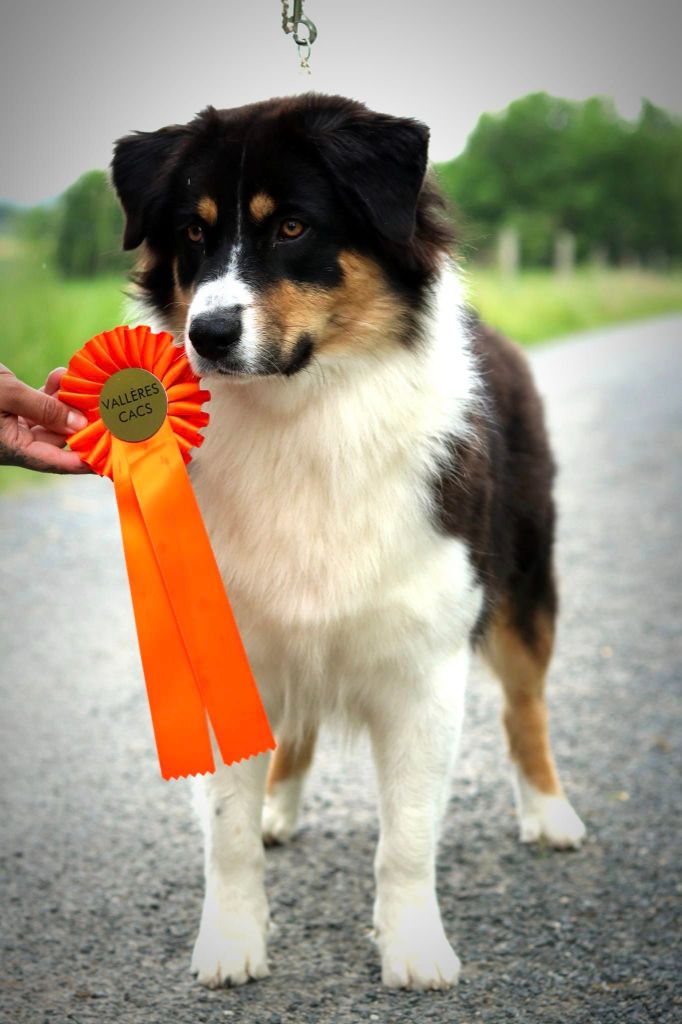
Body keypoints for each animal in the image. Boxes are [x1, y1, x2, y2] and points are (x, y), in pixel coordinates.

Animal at [111, 94, 585, 991]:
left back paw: (551, 811)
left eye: (293, 227)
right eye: (193, 233)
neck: (302, 412)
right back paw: (279, 805)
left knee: (527, 705)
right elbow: (225, 829)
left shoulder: (424, 664)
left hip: (523, 584)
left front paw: (415, 947)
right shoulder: (228, 643)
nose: (207, 334)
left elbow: (407, 834)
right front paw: (231, 941)